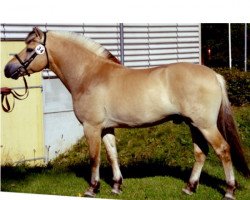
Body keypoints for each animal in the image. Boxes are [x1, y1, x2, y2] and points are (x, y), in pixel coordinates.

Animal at [3, 27, 248, 199]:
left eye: (29, 49)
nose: (8, 69)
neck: (89, 75)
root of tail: (213, 75)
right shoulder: (107, 128)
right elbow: (112, 154)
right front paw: (116, 186)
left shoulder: (91, 127)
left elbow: (95, 157)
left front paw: (92, 188)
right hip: (193, 124)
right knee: (201, 153)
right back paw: (189, 187)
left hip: (205, 125)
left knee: (223, 150)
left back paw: (229, 190)